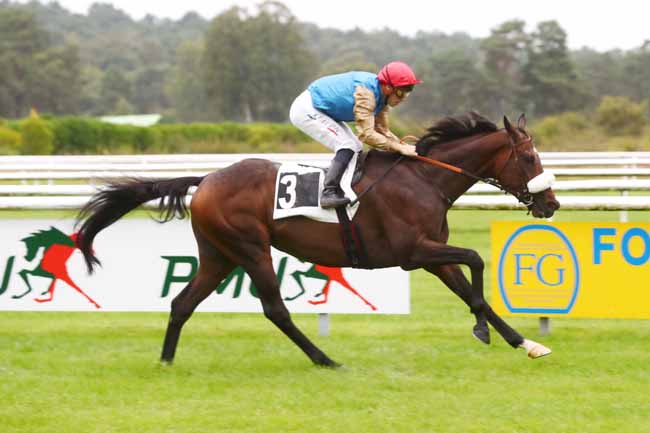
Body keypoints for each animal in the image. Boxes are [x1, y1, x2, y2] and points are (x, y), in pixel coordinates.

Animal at [76, 111, 560, 364]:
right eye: (530, 158)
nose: (551, 203)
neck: (425, 179)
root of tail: (208, 178)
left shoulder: (432, 256)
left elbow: (473, 291)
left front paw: (525, 342)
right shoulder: (414, 251)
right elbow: (476, 259)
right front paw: (483, 331)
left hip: (218, 254)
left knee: (181, 303)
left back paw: (166, 360)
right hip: (250, 249)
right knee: (275, 310)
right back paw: (325, 359)